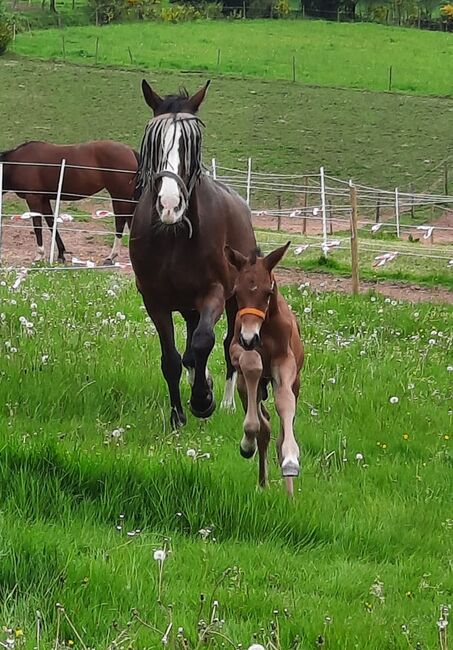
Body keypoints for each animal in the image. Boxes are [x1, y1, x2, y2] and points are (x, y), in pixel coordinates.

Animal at [0, 140, 138, 262]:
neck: (17, 163)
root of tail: (130, 151)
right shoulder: (44, 199)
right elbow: (52, 224)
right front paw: (61, 254)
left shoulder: (33, 198)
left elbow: (37, 226)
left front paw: (40, 255)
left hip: (119, 197)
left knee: (121, 222)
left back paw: (111, 256)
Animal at [129, 79, 256, 426]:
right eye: (154, 143)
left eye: (193, 143)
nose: (170, 204)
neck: (173, 237)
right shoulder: (155, 299)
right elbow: (172, 359)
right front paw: (177, 416)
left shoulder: (214, 291)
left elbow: (204, 341)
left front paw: (203, 400)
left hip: (234, 300)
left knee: (227, 345)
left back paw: (225, 401)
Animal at [225, 240, 304, 494]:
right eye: (236, 292)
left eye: (267, 293)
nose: (250, 338)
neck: (266, 329)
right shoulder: (237, 349)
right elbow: (251, 365)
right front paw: (246, 442)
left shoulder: (285, 361)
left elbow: (284, 402)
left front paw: (291, 459)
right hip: (243, 386)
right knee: (263, 426)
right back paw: (261, 478)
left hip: (295, 383)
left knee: (276, 429)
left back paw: (288, 493)